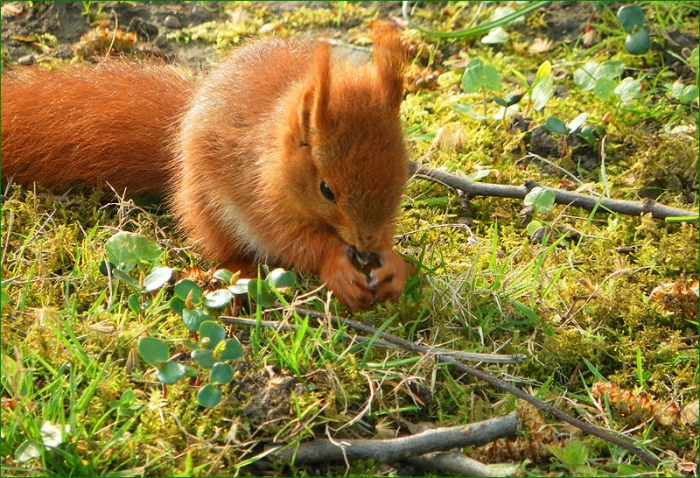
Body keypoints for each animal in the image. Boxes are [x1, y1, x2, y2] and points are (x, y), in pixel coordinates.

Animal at [1, 22, 410, 311]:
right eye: (326, 190)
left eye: (401, 175)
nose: (365, 242)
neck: (276, 156)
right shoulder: (259, 194)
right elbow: (290, 240)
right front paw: (337, 265)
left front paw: (392, 262)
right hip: (207, 208)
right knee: (225, 247)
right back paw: (237, 273)